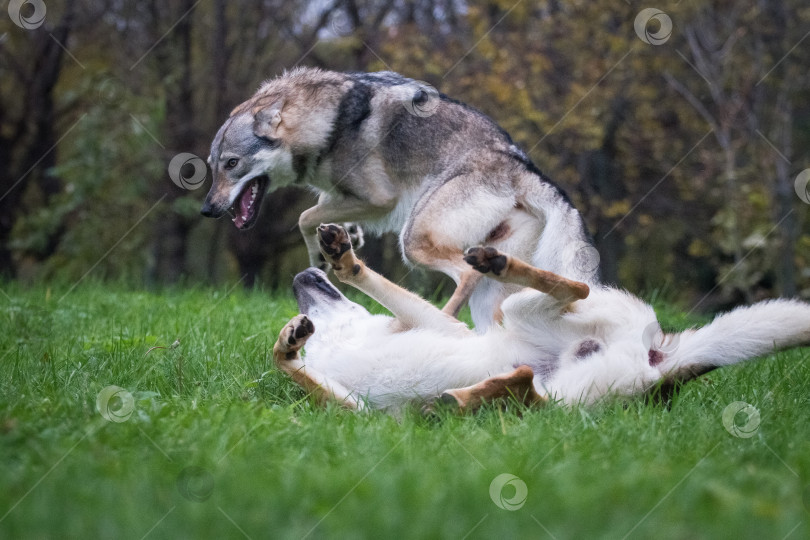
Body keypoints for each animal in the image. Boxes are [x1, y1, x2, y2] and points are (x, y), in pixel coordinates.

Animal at [200, 68, 592, 330]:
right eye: (212, 166)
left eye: (232, 163)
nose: (207, 209)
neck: (328, 123)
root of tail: (518, 164)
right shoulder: (342, 196)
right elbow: (323, 213)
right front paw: (340, 241)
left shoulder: (380, 199)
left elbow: (305, 217)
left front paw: (320, 255)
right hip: (493, 278)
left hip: (413, 240)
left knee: (464, 276)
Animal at [272, 224, 808, 414]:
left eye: (312, 298)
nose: (301, 274)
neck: (344, 345)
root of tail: (661, 365)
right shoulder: (360, 414)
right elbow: (295, 371)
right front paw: (287, 344)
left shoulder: (444, 326)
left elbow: (375, 284)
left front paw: (344, 261)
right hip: (569, 401)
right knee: (533, 391)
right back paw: (475, 393)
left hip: (517, 309)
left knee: (573, 288)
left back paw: (498, 263)